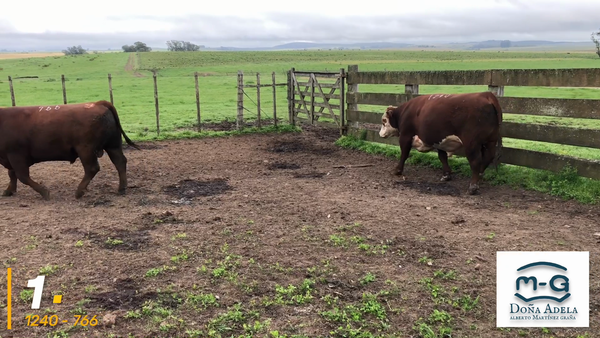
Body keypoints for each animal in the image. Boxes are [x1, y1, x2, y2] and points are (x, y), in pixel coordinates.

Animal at [0, 100, 139, 201]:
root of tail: (97, 103)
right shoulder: (10, 157)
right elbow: (12, 174)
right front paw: (9, 190)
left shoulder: (16, 155)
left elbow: (22, 176)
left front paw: (44, 192)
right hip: (112, 145)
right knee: (120, 162)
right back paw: (121, 188)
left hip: (85, 149)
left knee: (92, 168)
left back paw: (79, 192)